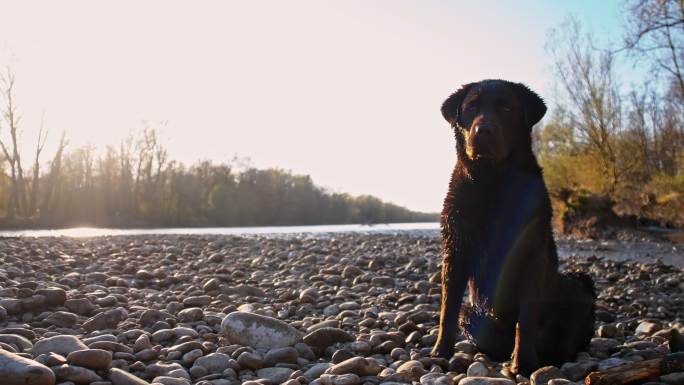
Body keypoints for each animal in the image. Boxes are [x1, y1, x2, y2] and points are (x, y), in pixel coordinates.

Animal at [432, 79, 592, 376]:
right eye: (471, 107)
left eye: (506, 108)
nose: (483, 130)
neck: (492, 179)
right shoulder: (456, 250)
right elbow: (447, 309)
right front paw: (440, 351)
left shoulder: (532, 253)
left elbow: (526, 318)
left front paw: (525, 362)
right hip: (471, 312)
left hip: (579, 283)